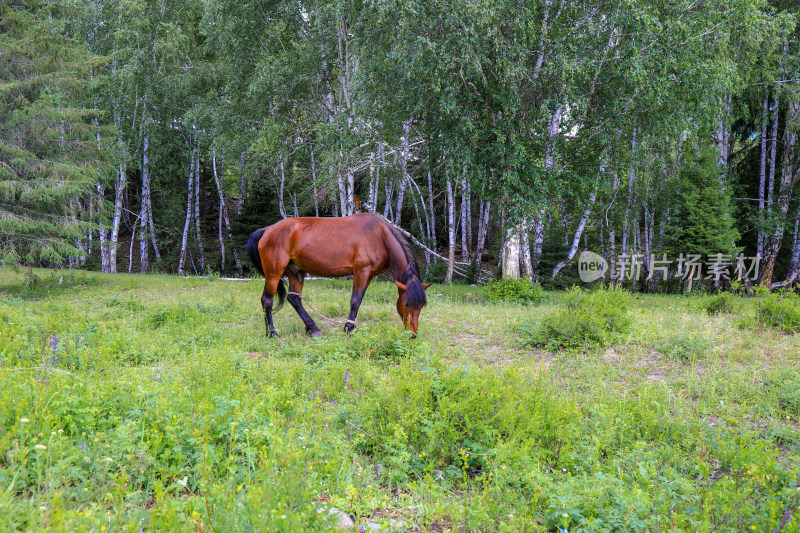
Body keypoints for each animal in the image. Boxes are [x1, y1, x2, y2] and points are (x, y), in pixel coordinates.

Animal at [245, 212, 428, 336]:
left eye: (421, 306)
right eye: (407, 304)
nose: (413, 334)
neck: (380, 236)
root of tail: (267, 230)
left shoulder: (368, 275)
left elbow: (359, 301)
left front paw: (350, 327)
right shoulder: (361, 271)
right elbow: (355, 301)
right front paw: (348, 329)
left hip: (296, 273)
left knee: (294, 299)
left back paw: (313, 329)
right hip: (273, 274)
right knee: (267, 301)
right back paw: (272, 333)